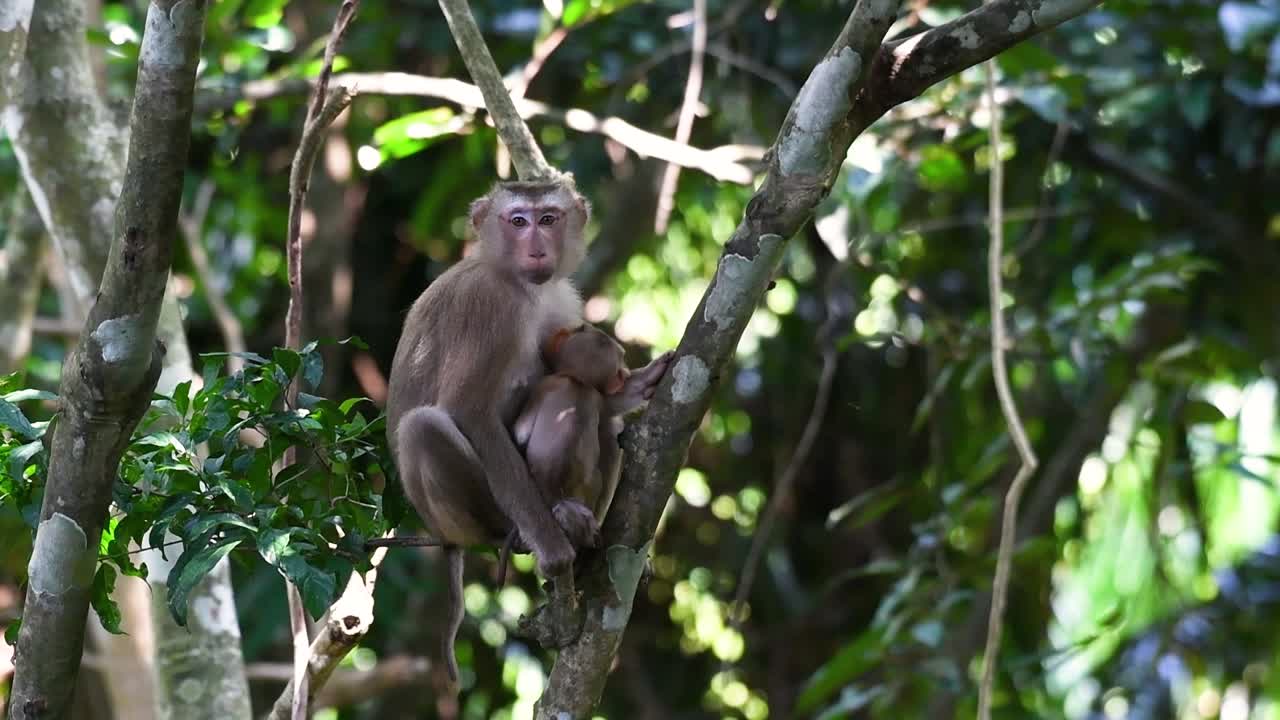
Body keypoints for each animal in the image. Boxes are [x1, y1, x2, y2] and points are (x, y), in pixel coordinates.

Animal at [385, 178, 673, 684]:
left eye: (549, 219)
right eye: (518, 220)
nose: (537, 247)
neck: (521, 284)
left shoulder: (561, 297)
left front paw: (635, 385)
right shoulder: (488, 304)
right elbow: (468, 410)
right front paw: (553, 550)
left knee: (600, 415)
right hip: (462, 516)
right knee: (424, 426)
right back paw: (529, 529)